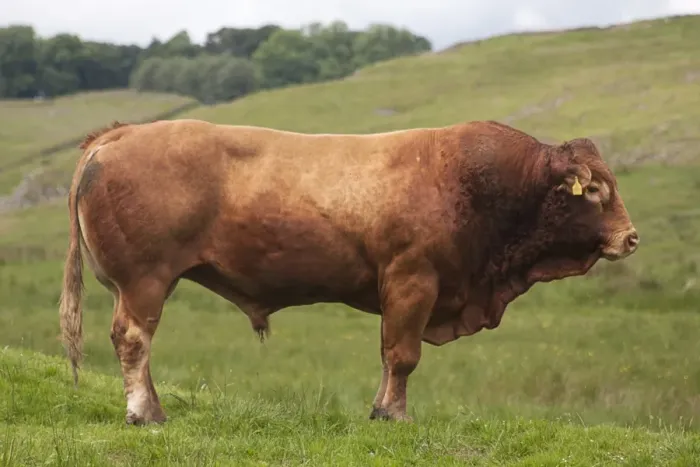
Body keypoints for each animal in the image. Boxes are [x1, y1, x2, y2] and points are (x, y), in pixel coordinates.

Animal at [59, 118, 639, 425]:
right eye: (596, 191)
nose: (631, 237)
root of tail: (118, 135)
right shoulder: (413, 281)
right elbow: (403, 356)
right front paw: (396, 415)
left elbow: (388, 356)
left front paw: (381, 410)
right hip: (145, 281)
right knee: (133, 341)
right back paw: (145, 412)